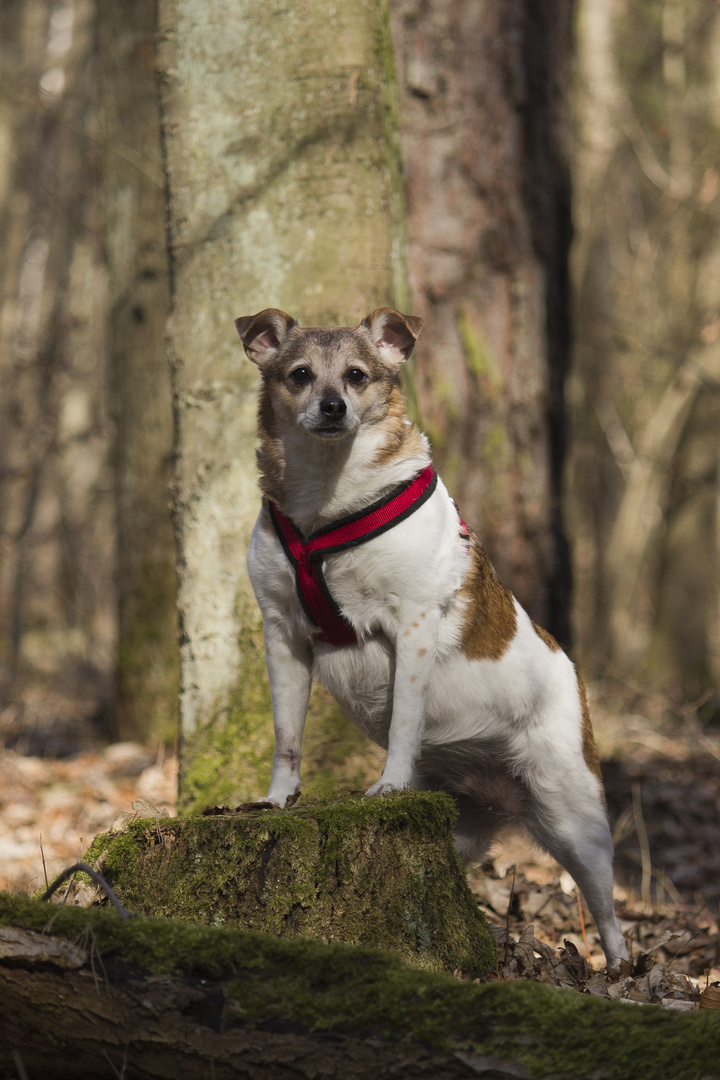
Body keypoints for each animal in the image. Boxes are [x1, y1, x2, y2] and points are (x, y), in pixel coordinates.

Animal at [237, 306, 630, 972]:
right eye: (299, 375)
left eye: (357, 375)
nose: (333, 406)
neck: (327, 502)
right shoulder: (283, 633)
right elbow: (287, 738)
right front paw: (278, 798)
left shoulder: (414, 622)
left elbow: (403, 718)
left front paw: (389, 784)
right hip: (466, 825)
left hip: (575, 817)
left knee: (605, 908)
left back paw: (625, 968)